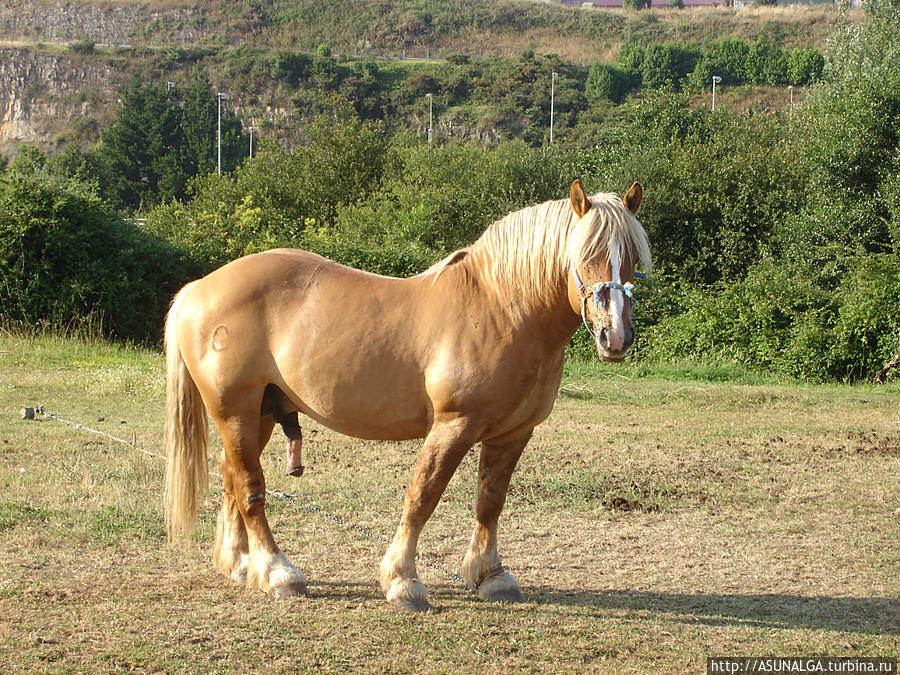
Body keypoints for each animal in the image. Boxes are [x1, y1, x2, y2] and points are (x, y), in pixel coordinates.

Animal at [165, 180, 652, 612]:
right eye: (585, 255)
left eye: (631, 259)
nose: (616, 337)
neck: (503, 310)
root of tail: (197, 289)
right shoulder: (454, 425)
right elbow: (423, 495)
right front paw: (403, 581)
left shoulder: (513, 433)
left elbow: (490, 500)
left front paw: (490, 576)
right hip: (236, 412)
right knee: (250, 488)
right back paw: (278, 572)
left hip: (262, 413)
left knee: (232, 478)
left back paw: (239, 564)